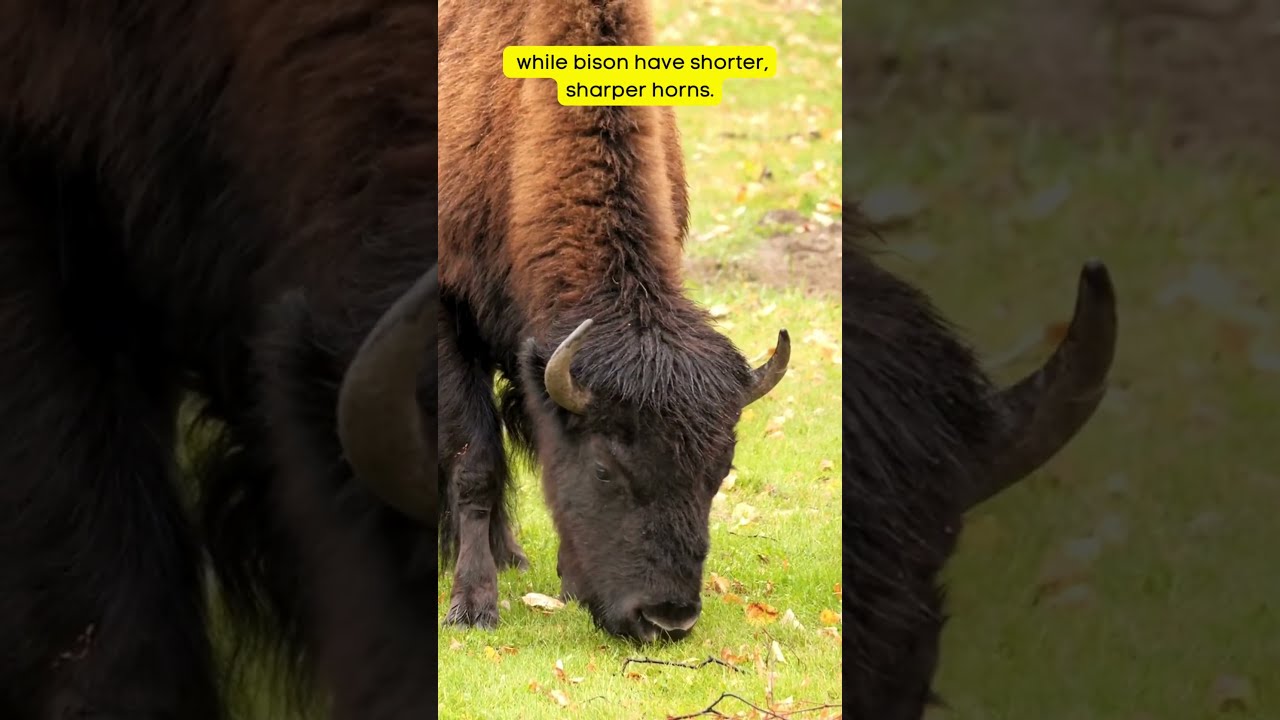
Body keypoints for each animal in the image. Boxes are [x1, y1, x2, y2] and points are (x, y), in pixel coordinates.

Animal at [437, 0, 790, 642]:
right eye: (605, 470)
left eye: (721, 470)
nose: (667, 619)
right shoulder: (451, 321)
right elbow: (474, 462)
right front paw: (473, 607)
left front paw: (569, 583)